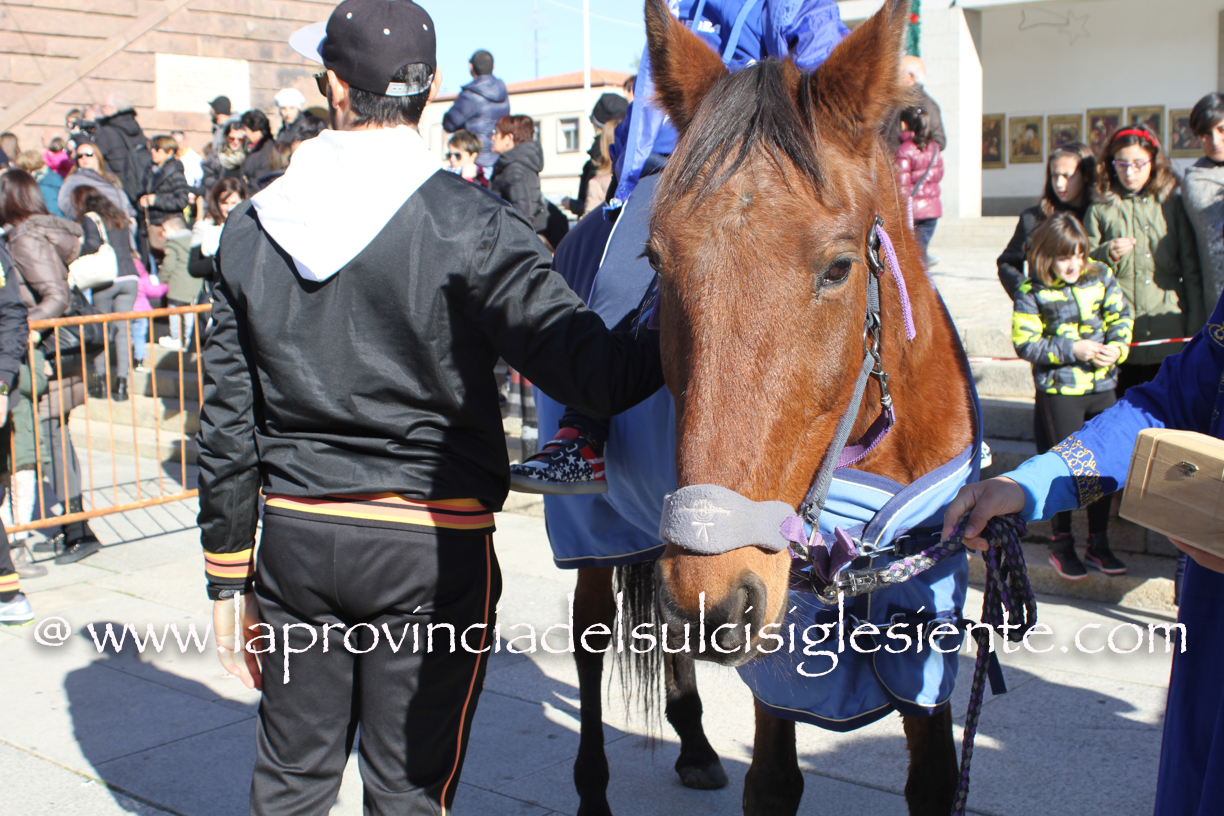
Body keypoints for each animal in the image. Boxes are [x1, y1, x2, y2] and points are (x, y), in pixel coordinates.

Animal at [643, 0, 979, 813]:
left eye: (838, 267)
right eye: (656, 261)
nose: (709, 599)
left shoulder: (925, 619)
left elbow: (933, 779)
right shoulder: (778, 635)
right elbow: (771, 782)